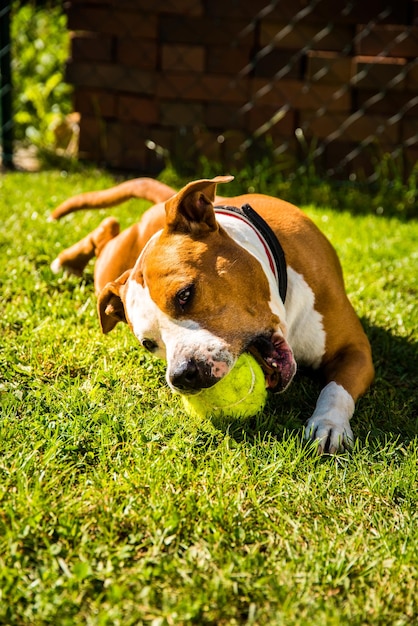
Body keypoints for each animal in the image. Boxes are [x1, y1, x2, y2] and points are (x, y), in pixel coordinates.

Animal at [50, 176, 374, 454]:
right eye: (148, 344)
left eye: (185, 294)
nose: (182, 375)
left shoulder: (356, 350)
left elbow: (336, 389)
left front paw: (329, 424)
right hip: (111, 271)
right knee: (106, 229)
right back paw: (66, 262)